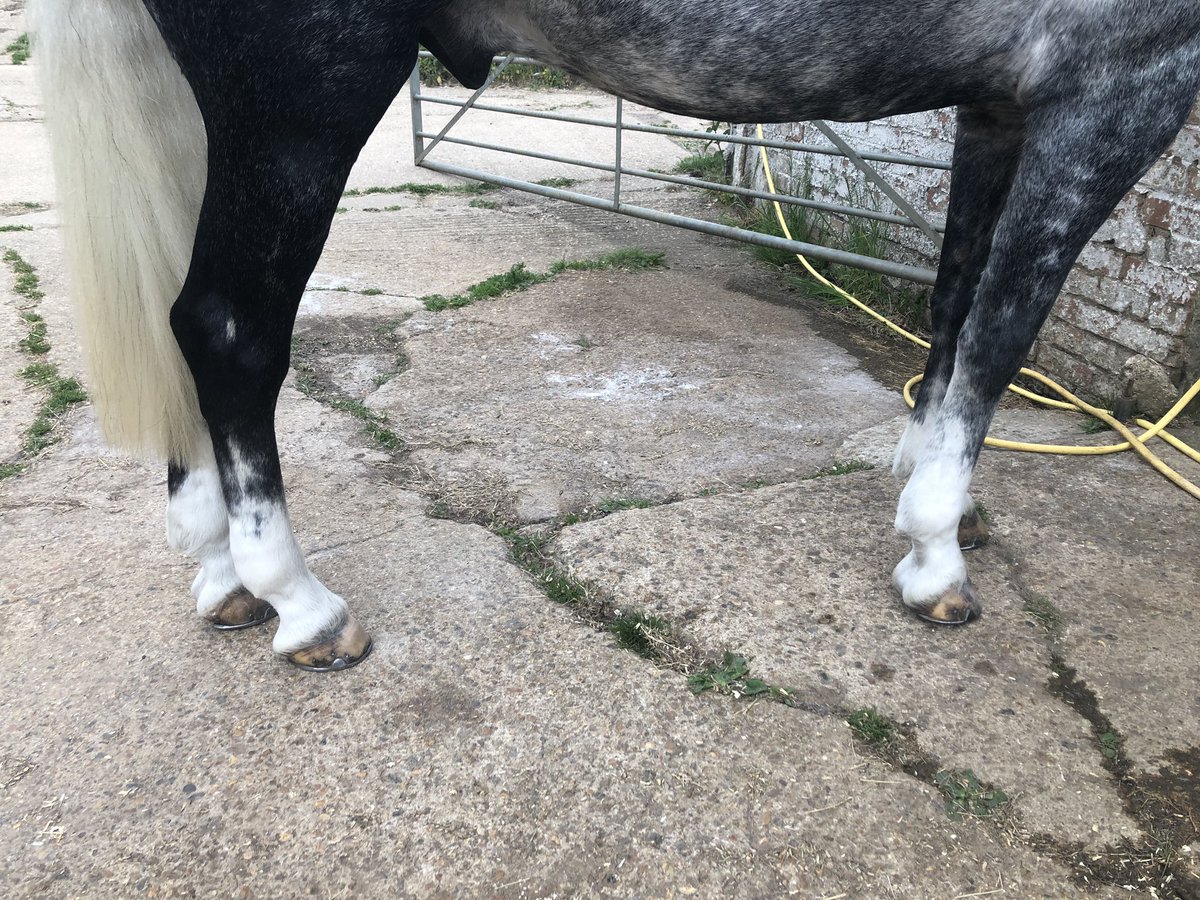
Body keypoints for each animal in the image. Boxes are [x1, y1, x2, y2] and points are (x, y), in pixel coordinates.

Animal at [28, 1, 1200, 672]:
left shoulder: (1001, 104)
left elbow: (954, 309)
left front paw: (938, 499)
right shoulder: (1117, 84)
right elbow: (1003, 336)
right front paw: (937, 557)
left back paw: (220, 571)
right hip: (304, 92)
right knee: (226, 325)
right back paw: (303, 606)